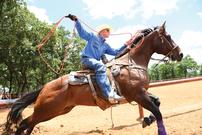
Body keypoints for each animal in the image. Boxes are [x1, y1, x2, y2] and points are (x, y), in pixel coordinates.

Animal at [3, 21, 183, 134]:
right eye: (168, 36)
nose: (180, 54)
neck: (132, 63)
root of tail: (45, 87)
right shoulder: (138, 95)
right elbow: (158, 112)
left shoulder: (141, 93)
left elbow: (157, 103)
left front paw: (146, 119)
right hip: (46, 110)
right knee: (24, 124)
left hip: (55, 111)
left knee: (28, 125)